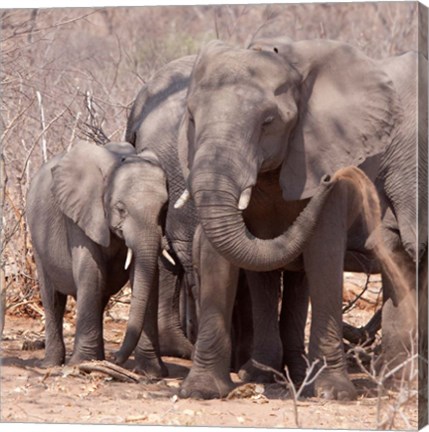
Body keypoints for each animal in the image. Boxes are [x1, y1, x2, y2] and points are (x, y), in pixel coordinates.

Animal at [25, 141, 171, 378]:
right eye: (120, 208)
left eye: (164, 209)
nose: (116, 358)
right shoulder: (81, 214)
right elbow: (92, 271)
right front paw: (82, 364)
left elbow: (148, 276)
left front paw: (152, 373)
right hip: (38, 240)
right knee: (53, 299)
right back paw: (52, 365)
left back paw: (98, 362)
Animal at [174, 38, 424, 400]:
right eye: (192, 118)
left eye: (268, 121)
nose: (331, 178)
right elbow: (215, 256)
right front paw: (200, 390)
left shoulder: (328, 153)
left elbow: (323, 252)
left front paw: (334, 393)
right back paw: (263, 374)